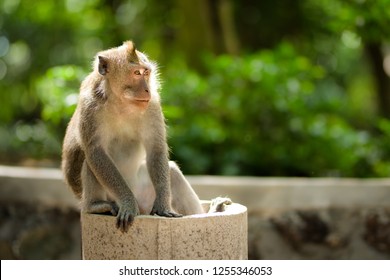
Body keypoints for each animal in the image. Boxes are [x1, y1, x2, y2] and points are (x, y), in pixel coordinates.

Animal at [61, 40, 206, 232]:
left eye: (146, 72)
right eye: (136, 73)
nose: (147, 89)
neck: (121, 102)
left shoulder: (152, 105)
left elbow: (156, 149)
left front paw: (163, 205)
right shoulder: (89, 106)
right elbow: (96, 152)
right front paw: (128, 203)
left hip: (144, 193)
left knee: (172, 171)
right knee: (91, 162)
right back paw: (96, 206)